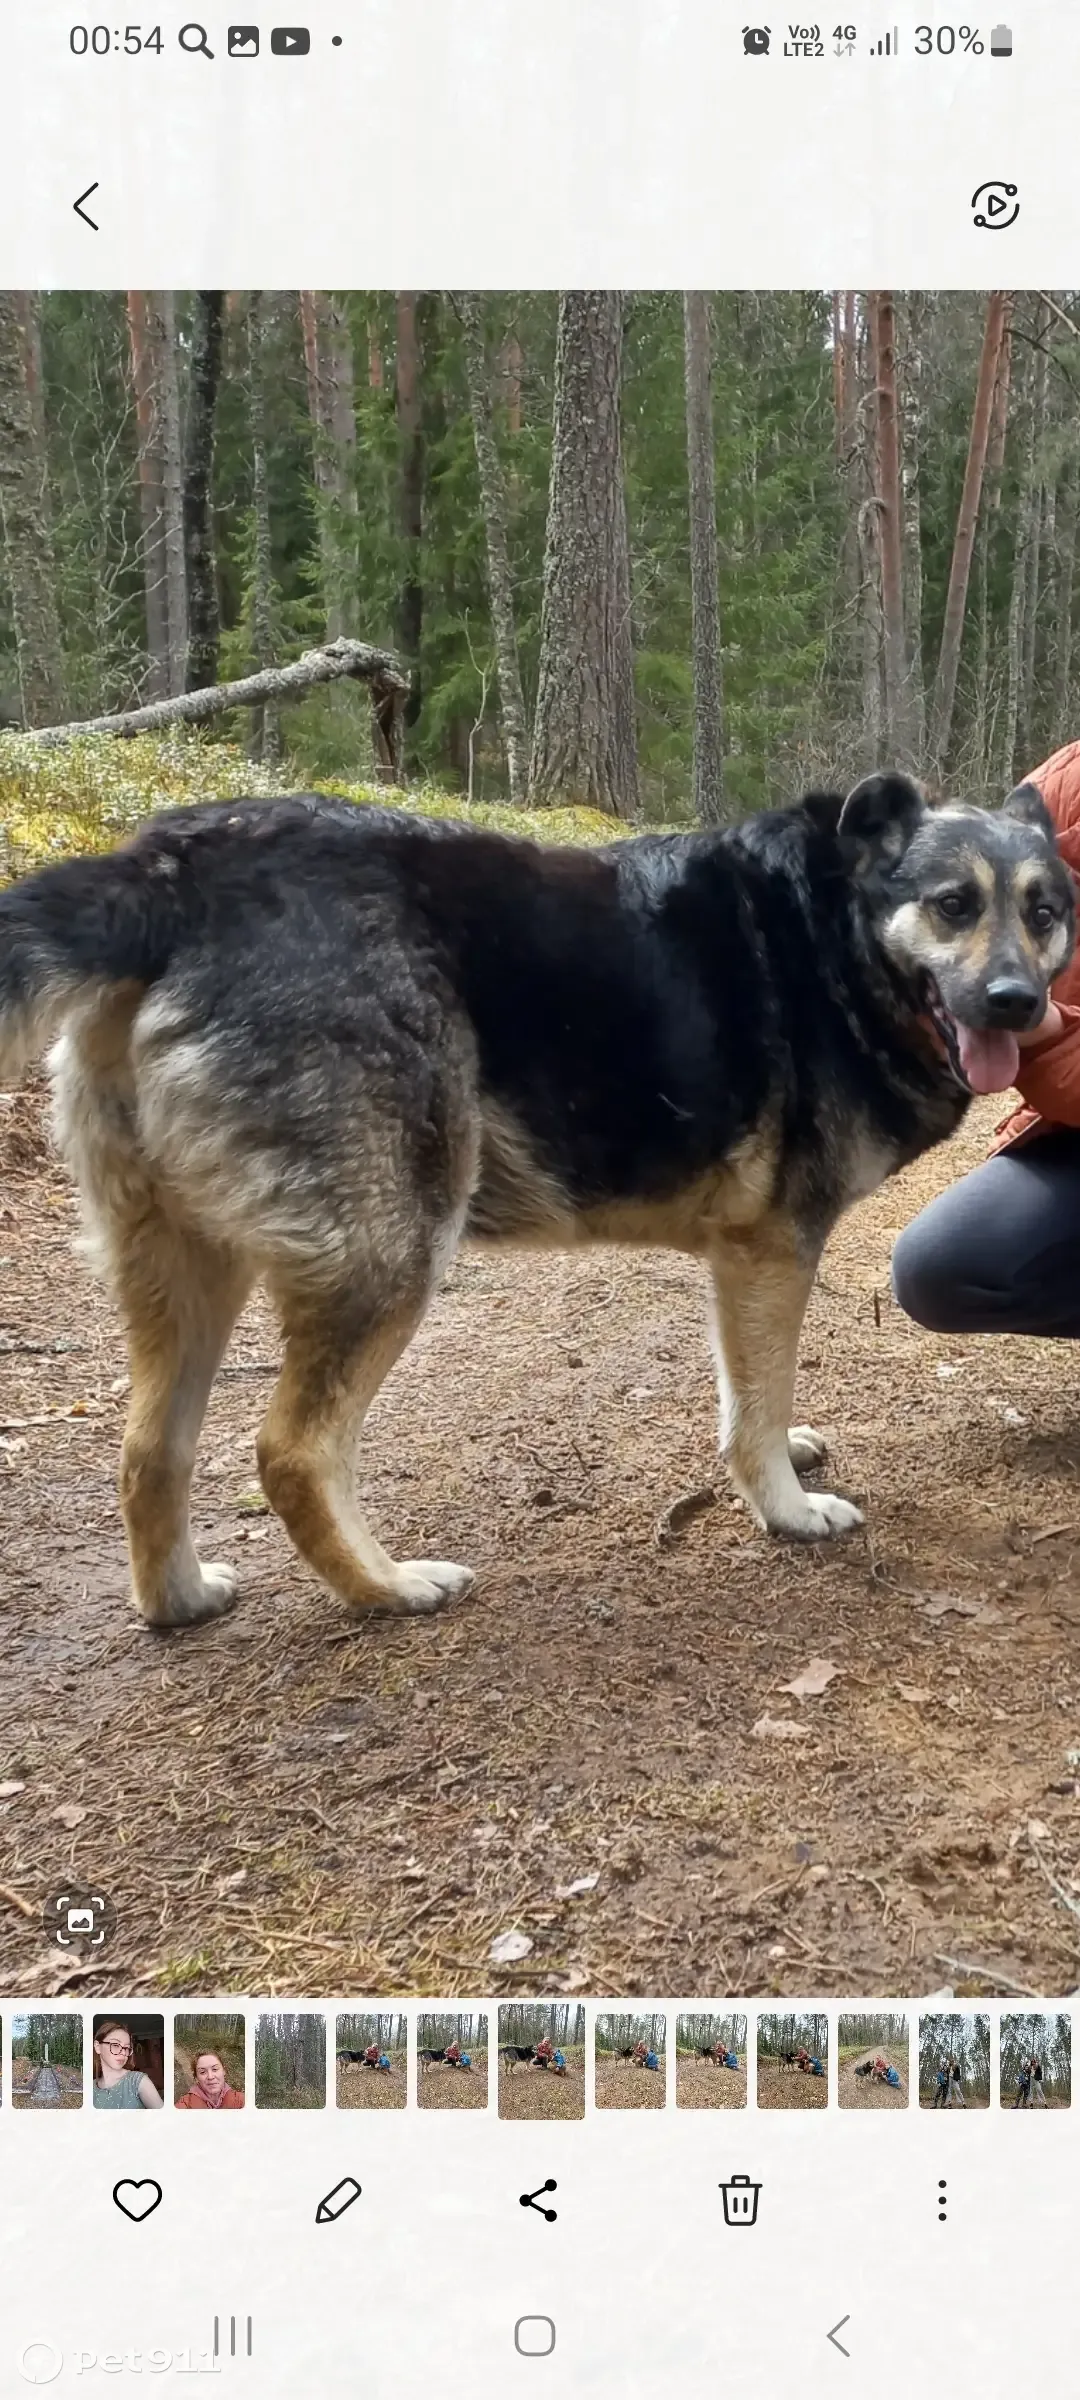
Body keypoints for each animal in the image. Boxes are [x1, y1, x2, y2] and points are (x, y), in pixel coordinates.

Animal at [0, 768, 1070, 1632]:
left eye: (1045, 911)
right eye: (951, 904)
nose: (1019, 1003)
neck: (835, 939)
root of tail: (173, 869)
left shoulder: (742, 1265)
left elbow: (745, 1395)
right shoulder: (774, 1250)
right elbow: (758, 1406)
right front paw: (786, 1512)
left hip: (188, 1267)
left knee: (149, 1451)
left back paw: (178, 1601)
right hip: (388, 1255)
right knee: (292, 1455)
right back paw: (388, 1588)